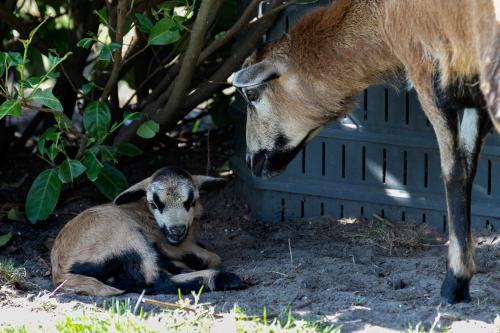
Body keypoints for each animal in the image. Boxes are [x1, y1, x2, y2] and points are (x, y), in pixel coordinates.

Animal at [233, 0, 500, 302]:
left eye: (252, 95)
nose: (252, 161)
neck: (380, 14)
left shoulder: (427, 68)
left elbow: (454, 171)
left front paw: (455, 282)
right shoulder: (471, 87)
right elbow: (468, 167)